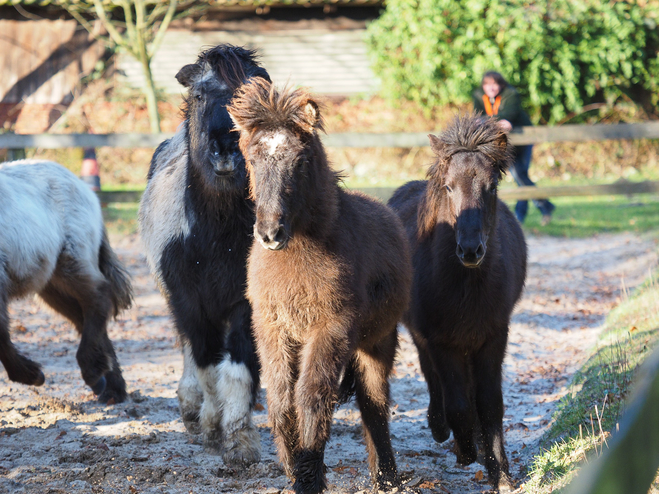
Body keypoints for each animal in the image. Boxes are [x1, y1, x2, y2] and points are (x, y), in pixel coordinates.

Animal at [0, 160, 133, 404]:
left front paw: (33, 375)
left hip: (70, 262)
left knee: (99, 296)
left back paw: (94, 374)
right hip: (50, 284)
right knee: (83, 316)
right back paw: (111, 388)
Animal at [139, 45, 270, 466]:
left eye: (253, 99)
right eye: (198, 95)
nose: (225, 147)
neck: (216, 238)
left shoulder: (246, 302)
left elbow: (239, 365)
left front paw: (240, 439)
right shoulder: (189, 300)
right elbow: (206, 363)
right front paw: (212, 426)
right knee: (188, 348)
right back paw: (191, 407)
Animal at [229, 78, 410, 494]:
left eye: (300, 161)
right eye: (251, 160)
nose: (270, 233)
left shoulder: (331, 328)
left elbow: (312, 397)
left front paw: (309, 475)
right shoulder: (273, 327)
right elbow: (281, 399)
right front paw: (293, 464)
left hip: (377, 341)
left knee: (373, 403)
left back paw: (386, 478)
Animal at [390, 115, 528, 490]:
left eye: (491, 187)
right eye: (449, 187)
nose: (470, 250)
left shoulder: (493, 337)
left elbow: (490, 404)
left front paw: (500, 472)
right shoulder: (441, 342)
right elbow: (459, 405)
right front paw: (466, 451)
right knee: (435, 381)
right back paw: (442, 430)